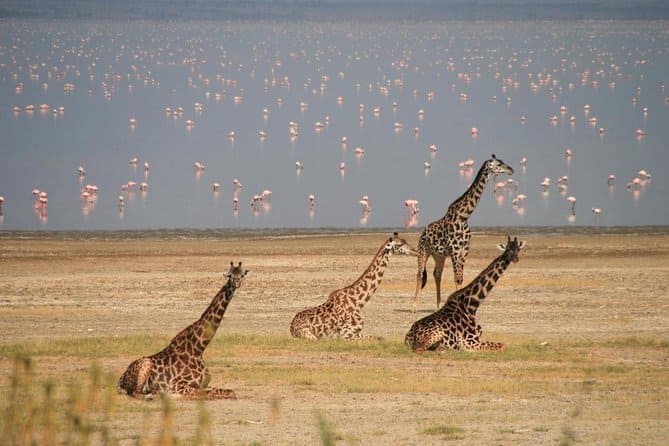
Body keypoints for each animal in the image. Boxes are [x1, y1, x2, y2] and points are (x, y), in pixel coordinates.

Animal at [117, 262, 248, 400]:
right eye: (230, 275)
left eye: (241, 275)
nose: (237, 283)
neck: (198, 349)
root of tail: (120, 379)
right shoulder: (178, 385)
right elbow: (206, 395)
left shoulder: (204, 384)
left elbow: (230, 392)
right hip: (146, 364)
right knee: (135, 393)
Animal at [410, 155, 516, 312]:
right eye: (498, 164)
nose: (511, 170)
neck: (463, 216)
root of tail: (423, 232)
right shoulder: (455, 251)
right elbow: (457, 278)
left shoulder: (464, 251)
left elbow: (461, 278)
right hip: (423, 251)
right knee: (419, 274)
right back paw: (414, 306)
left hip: (439, 255)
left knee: (437, 274)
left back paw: (438, 305)